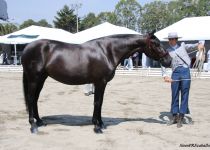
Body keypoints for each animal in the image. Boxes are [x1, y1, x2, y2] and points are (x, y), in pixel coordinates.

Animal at [21, 32, 171, 133]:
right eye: (156, 44)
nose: (169, 61)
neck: (107, 51)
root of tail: (27, 47)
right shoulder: (100, 82)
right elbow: (97, 102)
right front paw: (97, 127)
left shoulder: (102, 83)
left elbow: (100, 102)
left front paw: (100, 123)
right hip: (34, 78)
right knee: (30, 98)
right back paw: (33, 126)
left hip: (41, 78)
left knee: (35, 99)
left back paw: (40, 122)